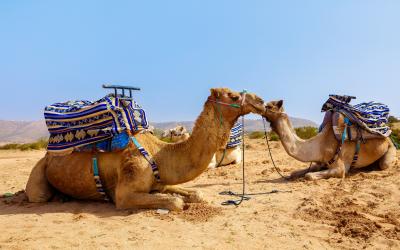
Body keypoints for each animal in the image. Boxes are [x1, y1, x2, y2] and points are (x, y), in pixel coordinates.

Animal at [26, 88, 268, 209]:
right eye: (234, 95)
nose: (261, 101)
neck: (158, 154)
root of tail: (48, 153)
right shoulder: (124, 194)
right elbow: (177, 202)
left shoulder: (161, 182)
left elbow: (196, 194)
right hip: (39, 173)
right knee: (38, 195)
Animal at [262, 99, 396, 180]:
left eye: (269, 106)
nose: (261, 105)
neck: (320, 145)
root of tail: (388, 138)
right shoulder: (320, 162)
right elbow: (295, 173)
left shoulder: (340, 167)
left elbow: (309, 176)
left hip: (390, 150)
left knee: (384, 164)